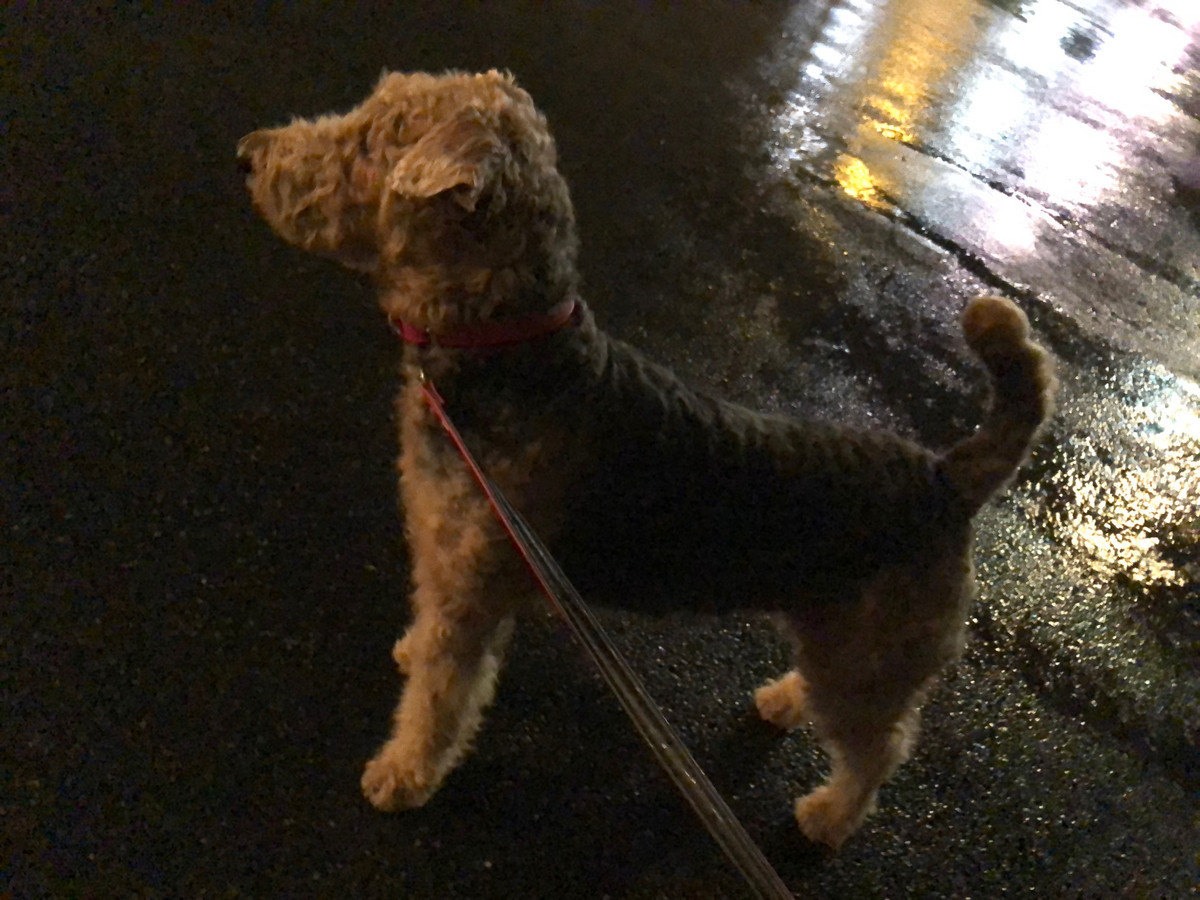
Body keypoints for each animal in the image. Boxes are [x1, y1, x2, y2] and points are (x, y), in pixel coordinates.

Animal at [237, 70, 1055, 849]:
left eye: (373, 139)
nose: (248, 154)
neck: (505, 347)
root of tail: (949, 477)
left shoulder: (472, 593)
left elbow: (441, 701)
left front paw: (402, 774)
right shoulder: (449, 561)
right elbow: (431, 643)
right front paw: (409, 657)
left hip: (873, 661)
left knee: (881, 750)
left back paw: (826, 817)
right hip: (843, 639)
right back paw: (785, 699)